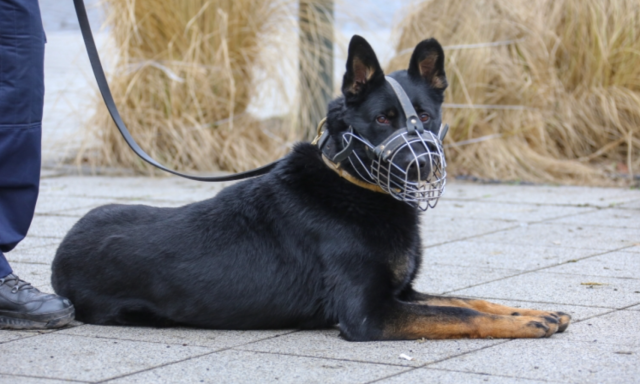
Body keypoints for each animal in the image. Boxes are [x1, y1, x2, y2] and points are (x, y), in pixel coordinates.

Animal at [51, 36, 568, 340]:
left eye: (424, 116)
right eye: (384, 119)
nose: (423, 164)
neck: (355, 187)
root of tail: (59, 254)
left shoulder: (402, 294)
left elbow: (465, 300)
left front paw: (528, 311)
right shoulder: (370, 315)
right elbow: (460, 315)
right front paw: (526, 323)